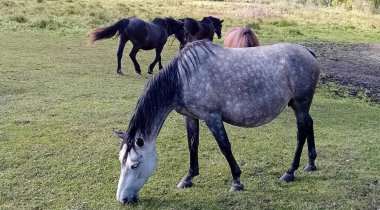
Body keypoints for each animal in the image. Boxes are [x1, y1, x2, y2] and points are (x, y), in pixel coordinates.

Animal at [113, 40, 320, 203]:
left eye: (134, 165)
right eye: (120, 161)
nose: (123, 199)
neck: (182, 78)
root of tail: (307, 52)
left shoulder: (212, 117)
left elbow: (225, 147)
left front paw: (237, 181)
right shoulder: (191, 116)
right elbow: (192, 145)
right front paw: (188, 178)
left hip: (301, 104)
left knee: (301, 132)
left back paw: (290, 172)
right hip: (298, 105)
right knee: (309, 124)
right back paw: (310, 164)